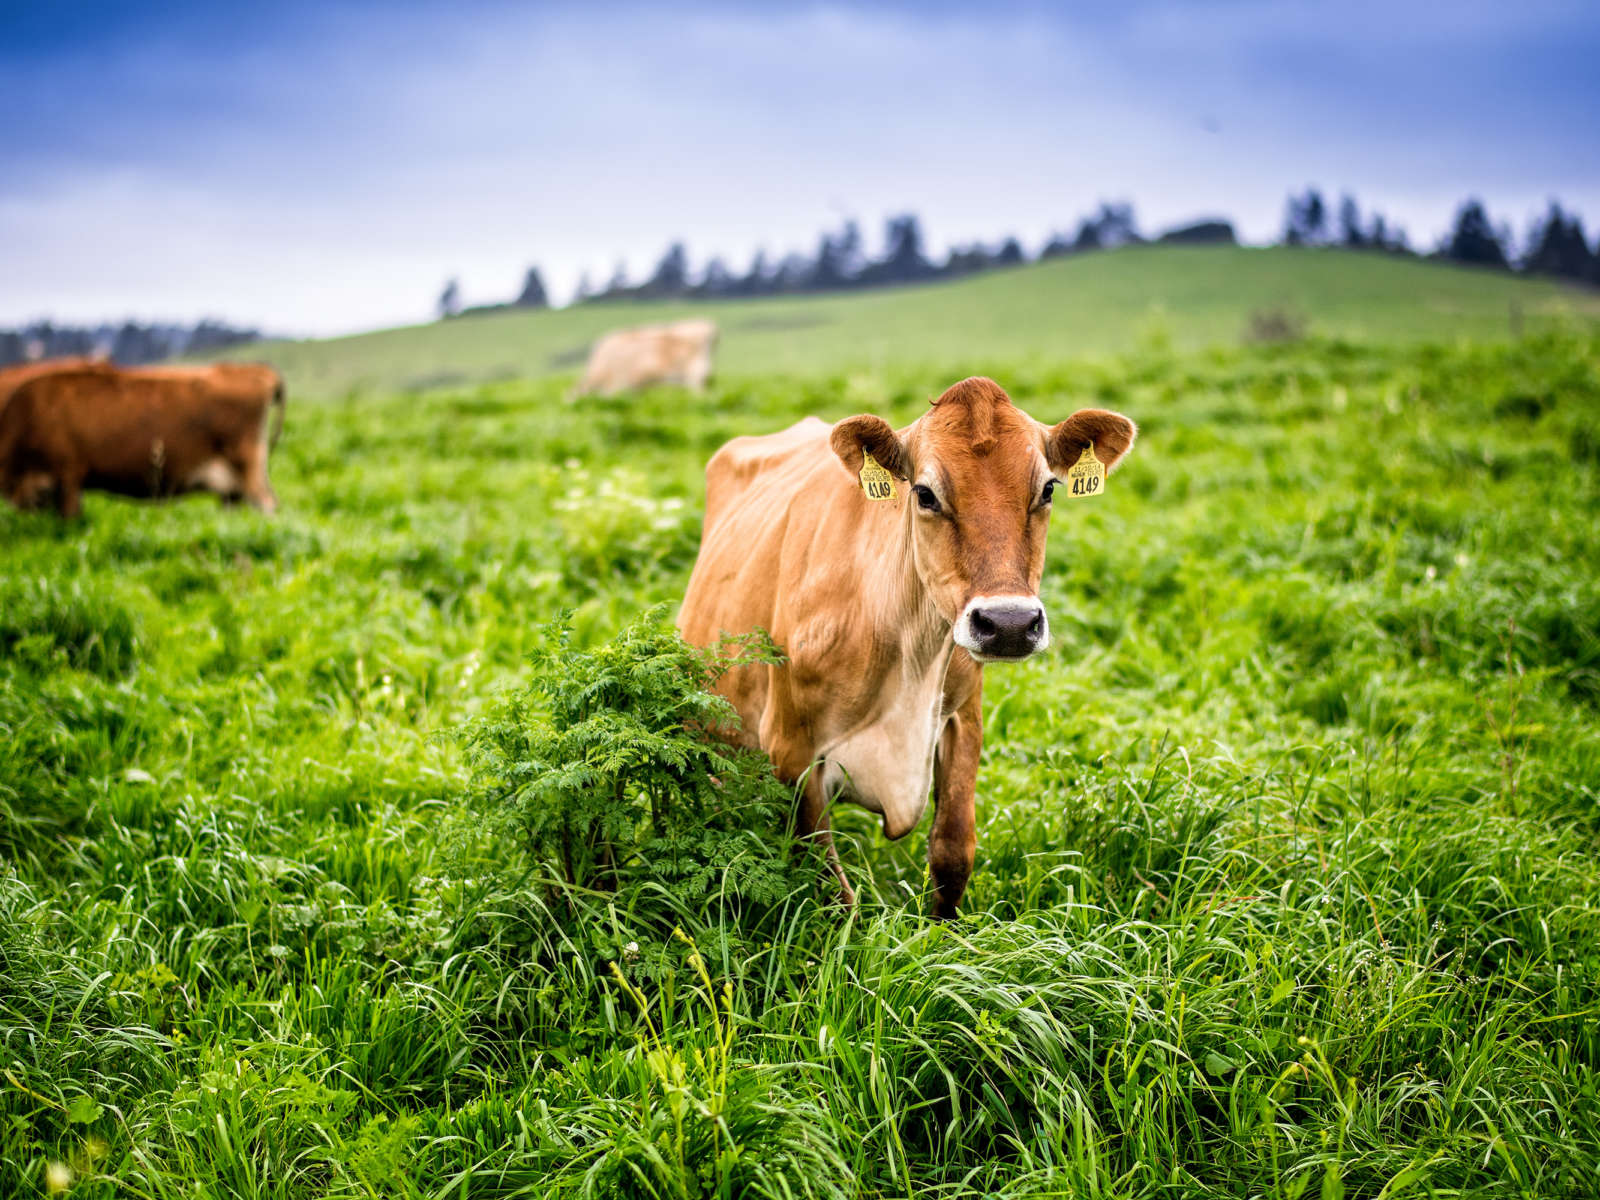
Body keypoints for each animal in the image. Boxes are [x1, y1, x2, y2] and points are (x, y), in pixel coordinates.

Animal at [675, 380, 1139, 915]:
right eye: (924, 493)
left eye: (1046, 489)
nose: (1008, 624)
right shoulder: (790, 751)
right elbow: (831, 887)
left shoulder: (962, 719)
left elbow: (953, 851)